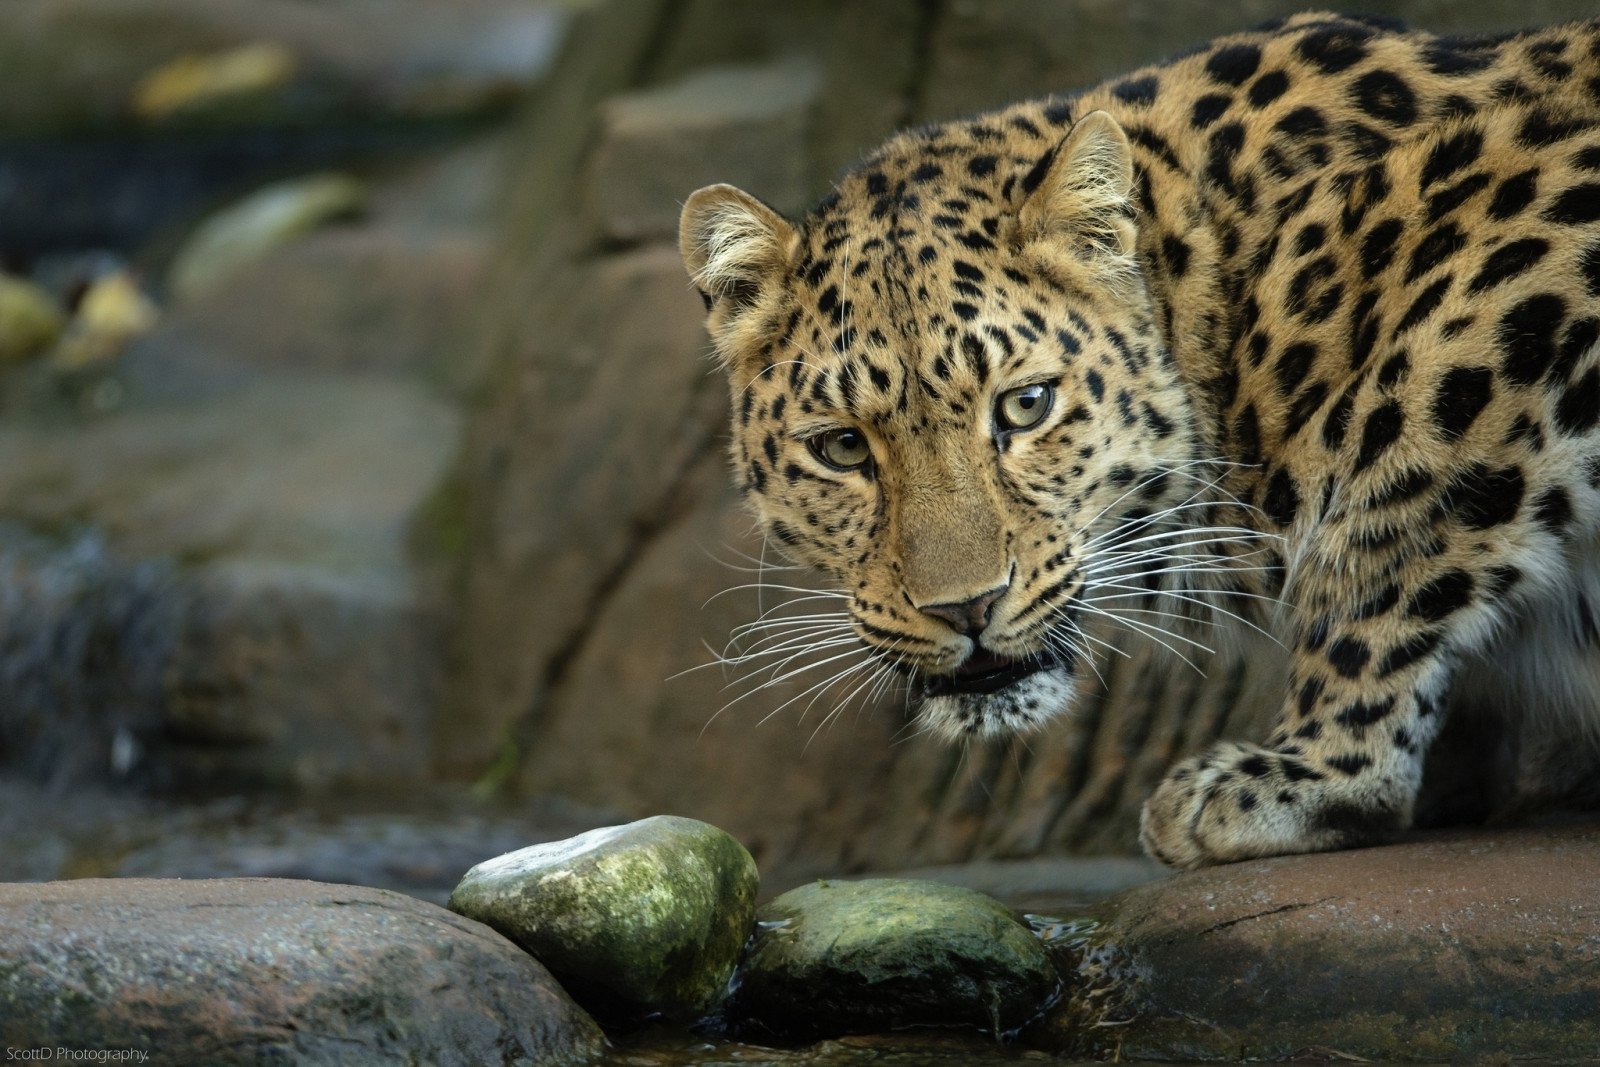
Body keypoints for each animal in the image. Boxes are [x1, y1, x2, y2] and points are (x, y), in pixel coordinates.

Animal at [678, 11, 1600, 869]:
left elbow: (1388, 516)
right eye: (841, 448)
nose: (964, 607)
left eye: (1025, 407)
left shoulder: (1517, 260)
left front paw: (1314, 775)